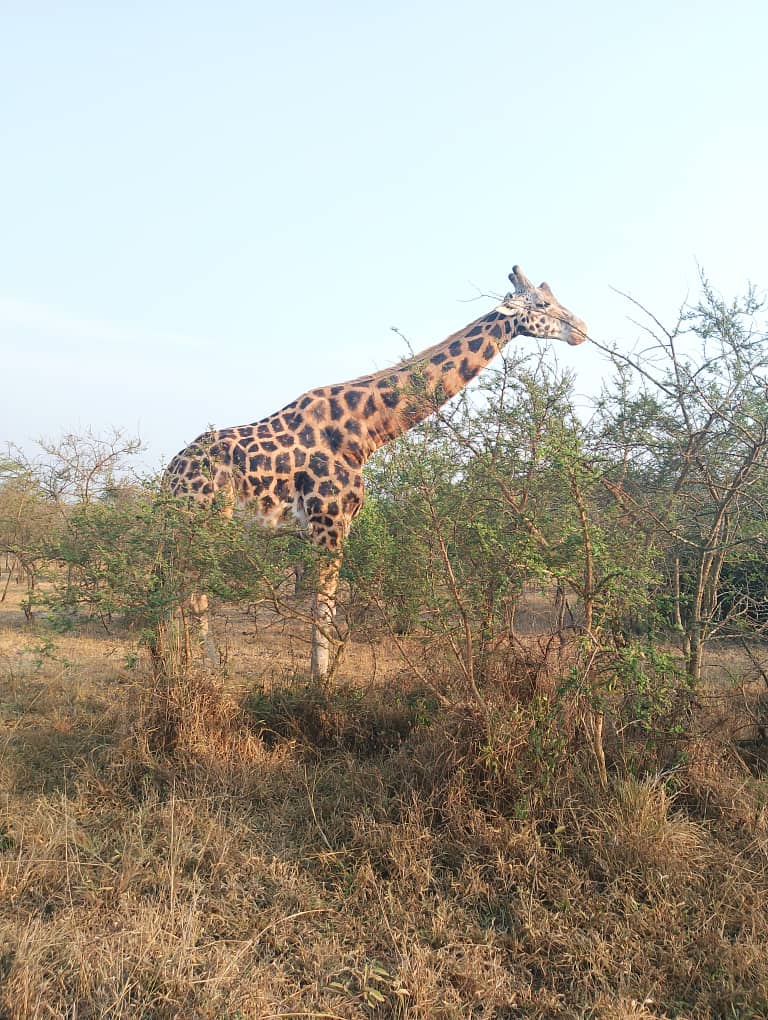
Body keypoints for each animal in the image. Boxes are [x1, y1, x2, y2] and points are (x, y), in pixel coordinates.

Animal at [163, 266, 588, 679]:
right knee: (190, 589)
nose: (582, 328)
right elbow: (323, 607)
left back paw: (178, 662)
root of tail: (171, 473)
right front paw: (320, 682)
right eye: (543, 303)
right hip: (203, 518)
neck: (365, 430)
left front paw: (320, 674)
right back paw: (202, 668)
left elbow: (325, 606)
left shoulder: (341, 523)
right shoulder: (327, 521)